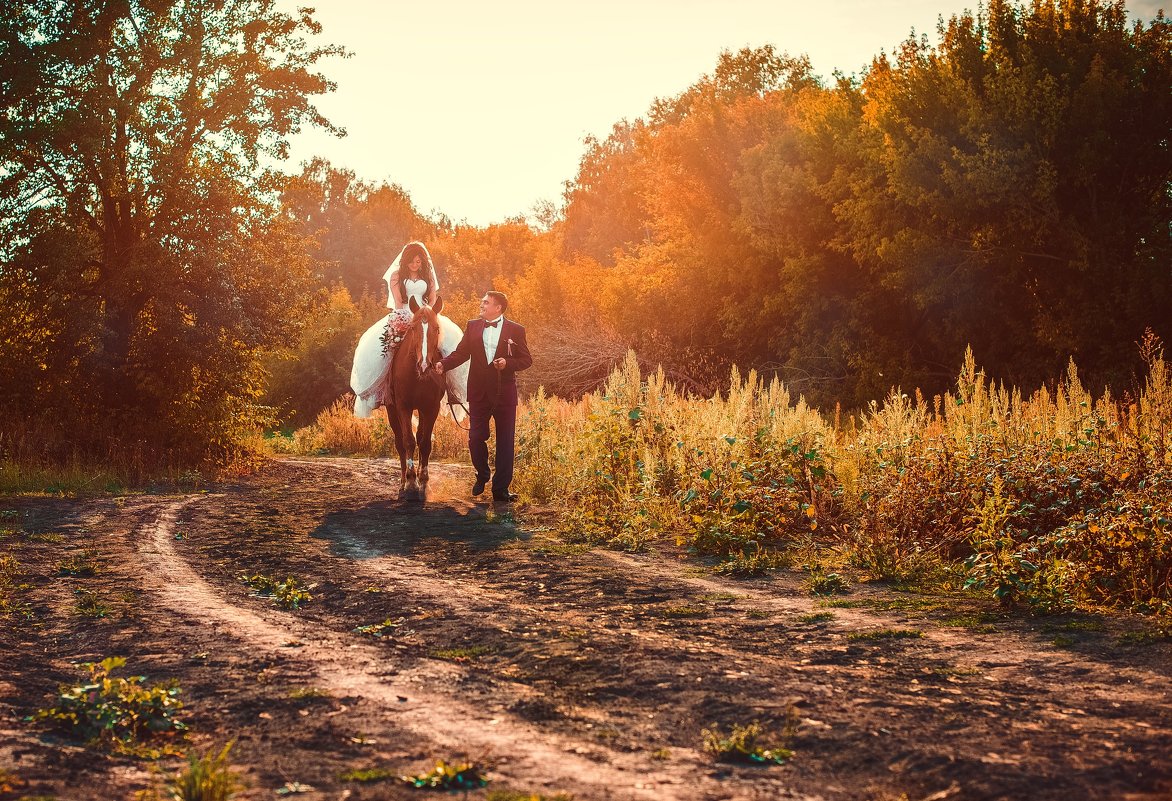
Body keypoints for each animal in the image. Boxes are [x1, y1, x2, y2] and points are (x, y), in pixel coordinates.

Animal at [391, 294, 450, 494]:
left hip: (423, 410)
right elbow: (408, 441)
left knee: (420, 437)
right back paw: (403, 481)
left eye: (437, 328)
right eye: (413, 328)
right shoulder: (403, 407)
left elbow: (424, 442)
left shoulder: (431, 408)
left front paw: (423, 479)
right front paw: (410, 480)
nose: (424, 365)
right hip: (391, 410)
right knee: (399, 442)